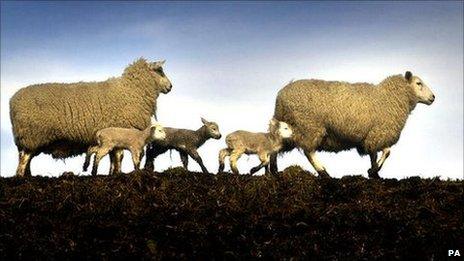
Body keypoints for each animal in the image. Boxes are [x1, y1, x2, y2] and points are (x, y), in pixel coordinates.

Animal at [8, 58, 172, 176]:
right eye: (160, 71)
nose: (170, 87)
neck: (131, 91)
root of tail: (12, 101)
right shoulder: (120, 130)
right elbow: (118, 157)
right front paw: (118, 174)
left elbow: (113, 158)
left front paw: (111, 174)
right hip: (32, 134)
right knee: (24, 160)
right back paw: (21, 177)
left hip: (28, 139)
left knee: (25, 159)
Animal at [272, 70, 436, 178]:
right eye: (418, 83)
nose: (433, 97)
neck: (390, 98)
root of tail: (281, 96)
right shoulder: (377, 133)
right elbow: (384, 152)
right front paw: (374, 171)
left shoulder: (372, 136)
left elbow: (377, 154)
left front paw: (374, 173)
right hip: (309, 126)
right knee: (309, 152)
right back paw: (324, 173)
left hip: (290, 127)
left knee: (275, 145)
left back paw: (273, 172)